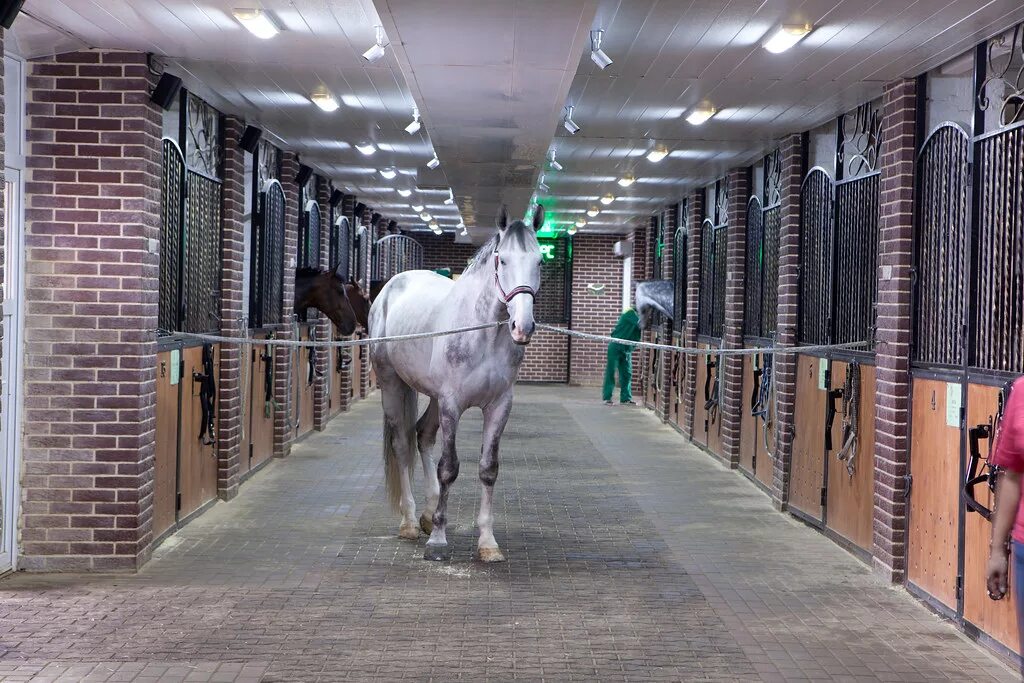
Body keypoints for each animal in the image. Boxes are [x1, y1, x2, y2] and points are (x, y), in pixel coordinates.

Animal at [368, 205, 544, 565]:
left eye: (539, 261)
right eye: (502, 260)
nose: (522, 327)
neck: (483, 333)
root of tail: (389, 289)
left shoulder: (499, 406)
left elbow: (488, 469)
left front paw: (488, 543)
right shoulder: (452, 404)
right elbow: (448, 468)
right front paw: (438, 541)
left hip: (433, 398)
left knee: (422, 435)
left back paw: (427, 513)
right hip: (393, 385)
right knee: (402, 444)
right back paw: (410, 522)